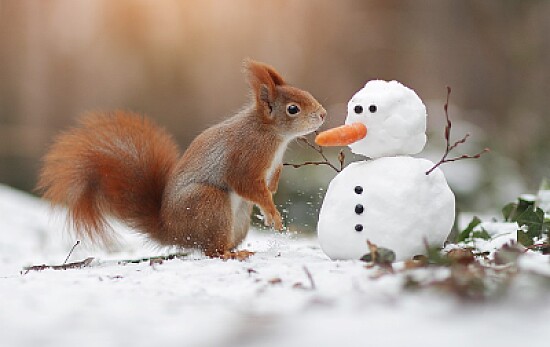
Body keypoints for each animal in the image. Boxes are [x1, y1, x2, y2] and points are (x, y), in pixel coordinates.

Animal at [37, 59, 328, 260]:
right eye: (293, 109)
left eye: (305, 92)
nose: (323, 114)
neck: (272, 135)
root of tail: (172, 231)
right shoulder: (245, 155)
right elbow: (246, 183)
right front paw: (273, 213)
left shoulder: (273, 166)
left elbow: (268, 185)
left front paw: (269, 208)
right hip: (208, 202)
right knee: (211, 251)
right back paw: (231, 254)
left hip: (239, 220)